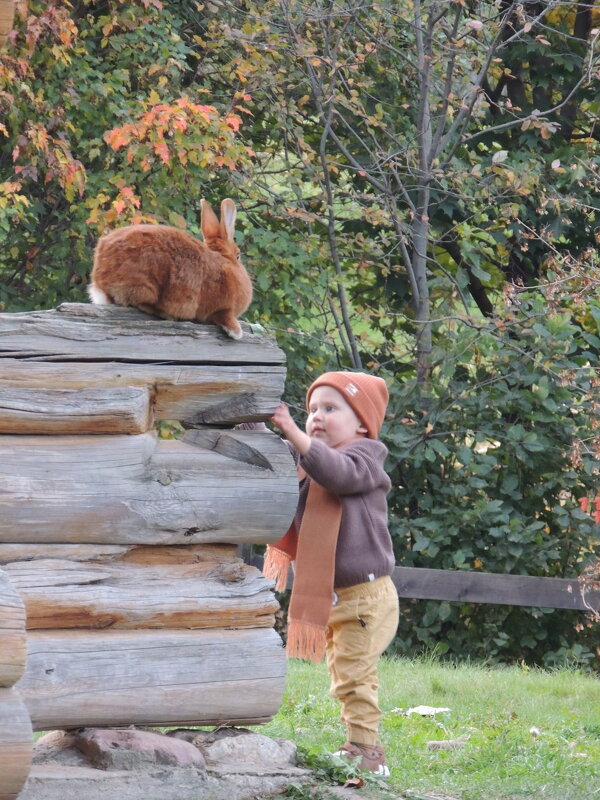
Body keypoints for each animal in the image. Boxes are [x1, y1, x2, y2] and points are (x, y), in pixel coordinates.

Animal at [86, 200, 251, 340]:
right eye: (238, 255)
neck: (224, 261)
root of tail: (100, 282)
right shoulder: (222, 309)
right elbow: (224, 317)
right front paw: (236, 332)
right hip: (145, 284)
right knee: (140, 303)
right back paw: (167, 315)